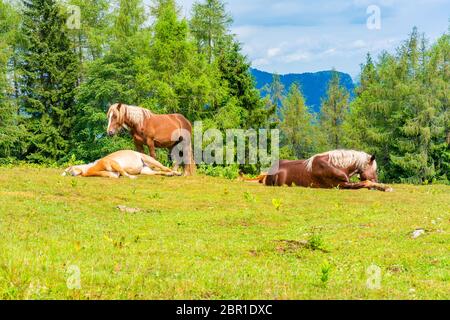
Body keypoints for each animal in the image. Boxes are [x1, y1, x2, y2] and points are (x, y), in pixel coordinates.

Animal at [246, 149, 394, 191]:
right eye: (374, 170)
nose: (377, 179)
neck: (336, 165)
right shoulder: (340, 185)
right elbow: (365, 183)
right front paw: (384, 187)